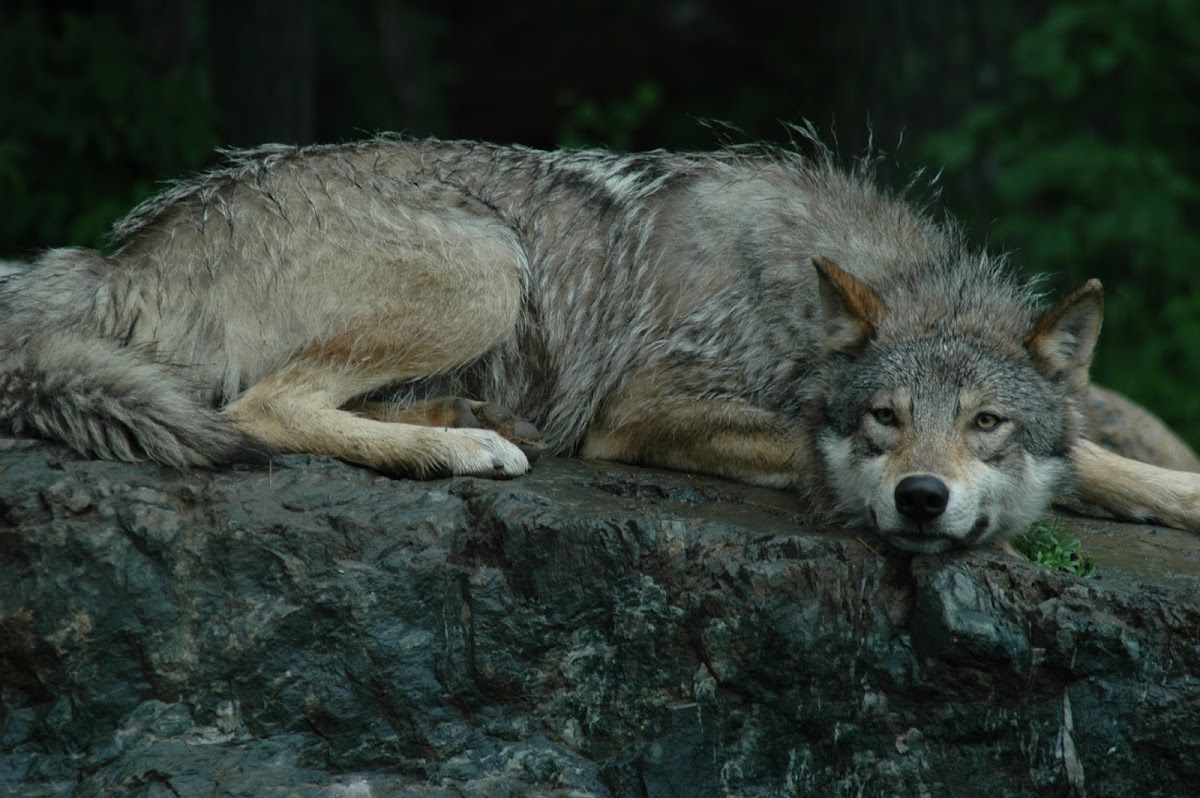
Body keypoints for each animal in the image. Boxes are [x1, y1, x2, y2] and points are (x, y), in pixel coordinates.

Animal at [2, 136, 1198, 553]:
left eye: (987, 422)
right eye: (884, 419)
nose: (921, 500)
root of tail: (122, 258)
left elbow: (1096, 447)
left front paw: (1168, 490)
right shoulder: (647, 409)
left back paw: (456, 416)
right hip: (489, 264)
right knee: (257, 410)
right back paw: (459, 448)